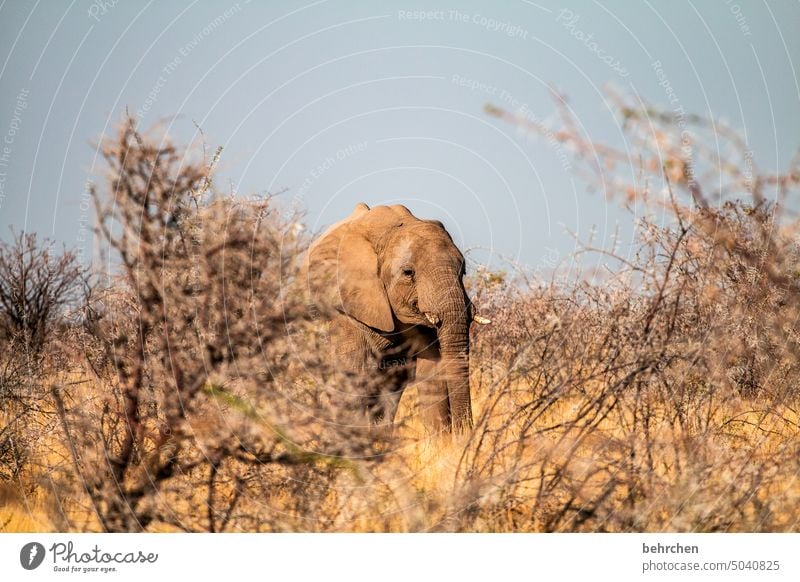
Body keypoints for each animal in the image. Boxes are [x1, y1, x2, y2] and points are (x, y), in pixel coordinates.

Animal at [304, 203, 482, 436]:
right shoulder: (344, 308)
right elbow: (353, 374)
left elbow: (431, 373)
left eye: (463, 271)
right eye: (408, 272)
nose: (464, 432)